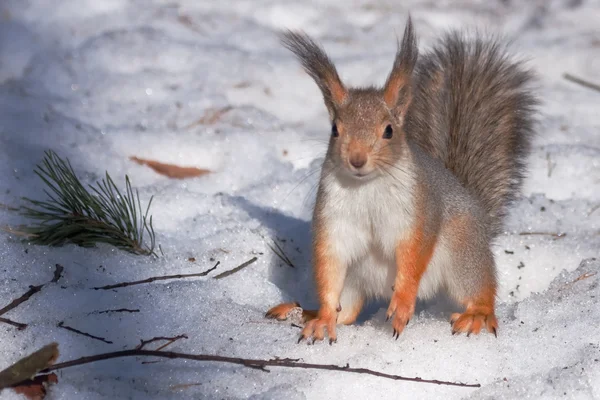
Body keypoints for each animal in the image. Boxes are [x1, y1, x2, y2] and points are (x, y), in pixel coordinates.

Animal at [264, 16, 536, 344]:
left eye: (389, 130)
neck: (366, 186)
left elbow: (413, 258)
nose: (357, 159)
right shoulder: (334, 222)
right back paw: (305, 312)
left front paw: (403, 303)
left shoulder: (417, 216)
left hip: (462, 251)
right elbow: (329, 267)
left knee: (478, 286)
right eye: (334, 129)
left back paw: (477, 314)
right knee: (348, 311)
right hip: (354, 278)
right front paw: (323, 318)